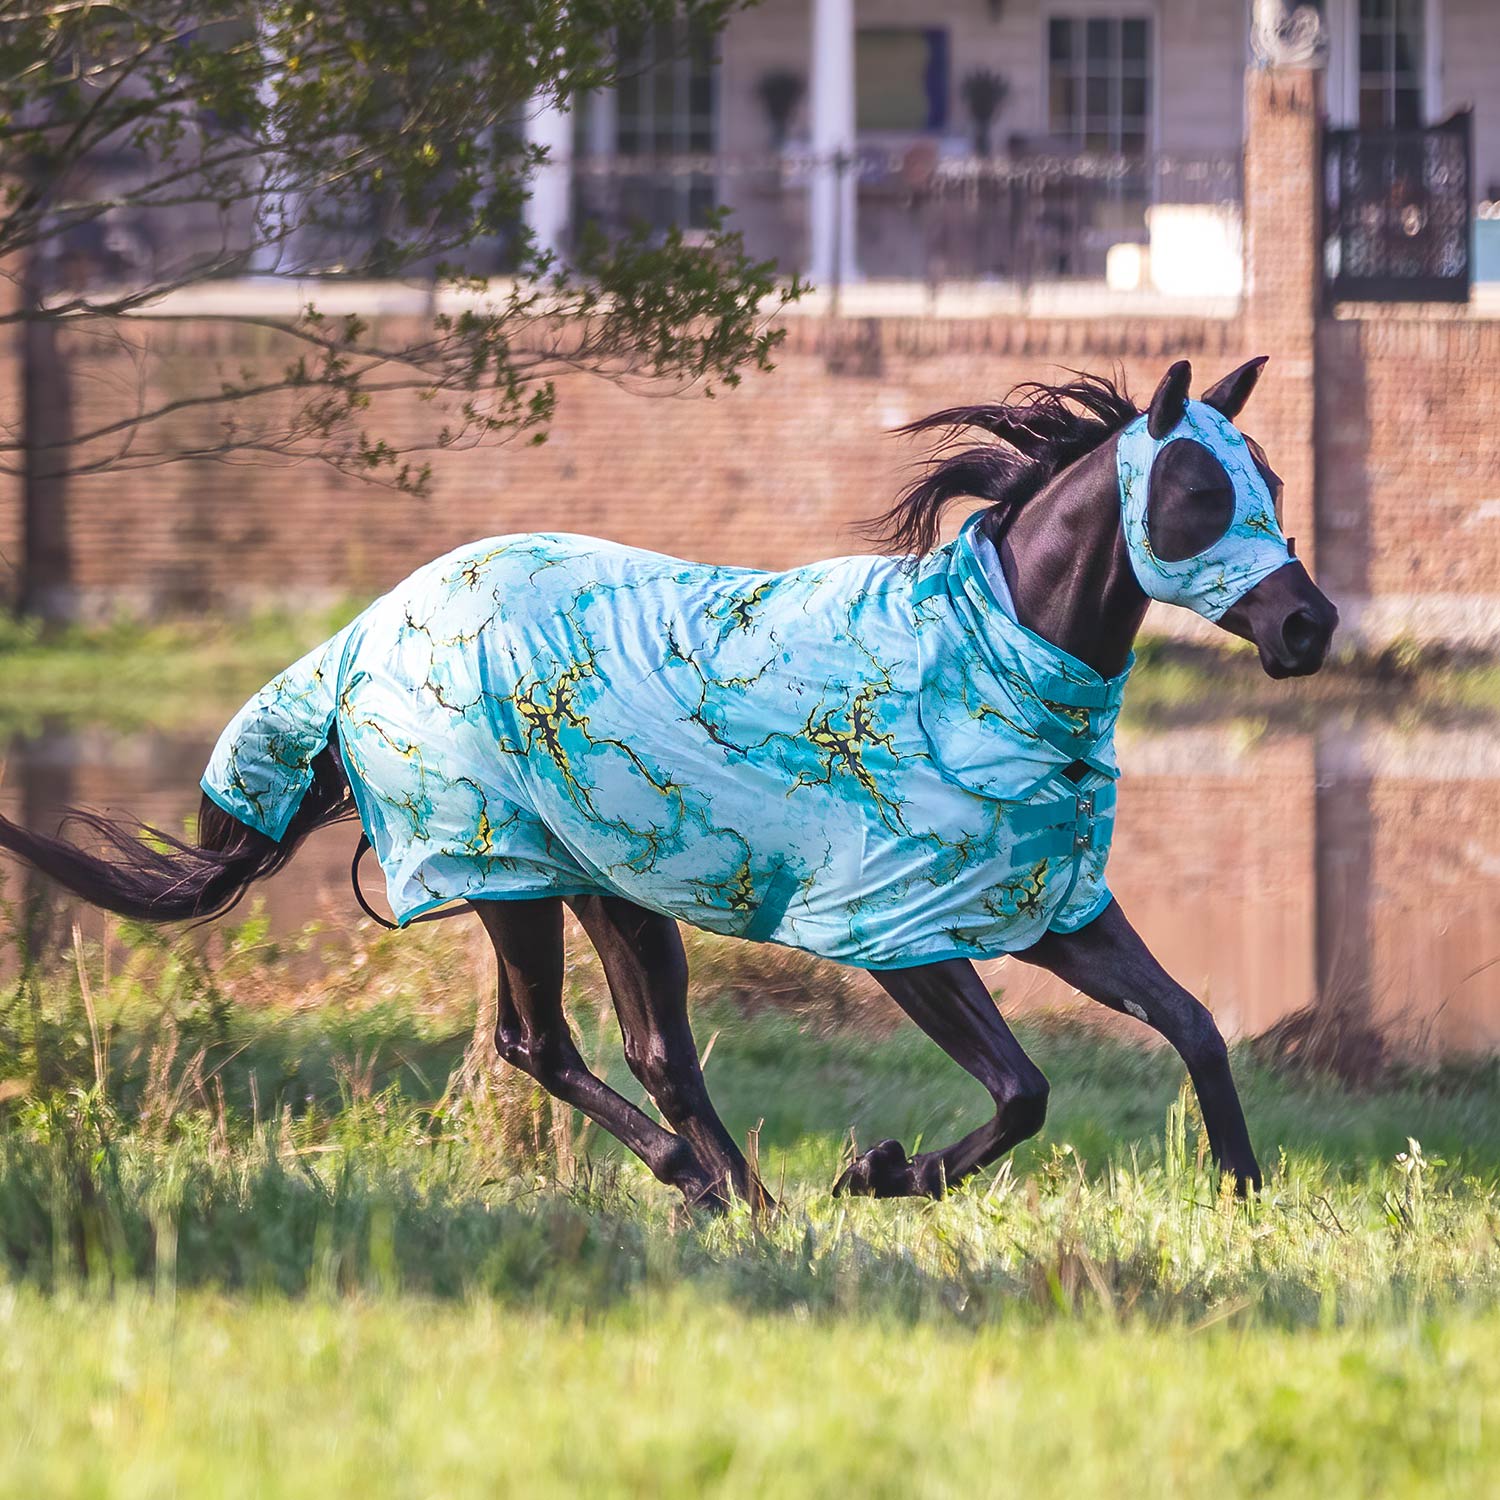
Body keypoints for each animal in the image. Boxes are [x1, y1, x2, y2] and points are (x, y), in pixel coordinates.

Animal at [0, 358, 1337, 1210]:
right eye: (1198, 492)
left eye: (1270, 482)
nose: (1309, 626)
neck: (981, 660)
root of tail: (362, 635)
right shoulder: (899, 934)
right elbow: (1024, 1092)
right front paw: (881, 1174)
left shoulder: (1053, 911)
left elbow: (1194, 1026)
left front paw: (1244, 1196)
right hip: (511, 880)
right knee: (537, 1043)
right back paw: (715, 1185)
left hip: (615, 889)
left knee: (651, 1052)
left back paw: (743, 1196)